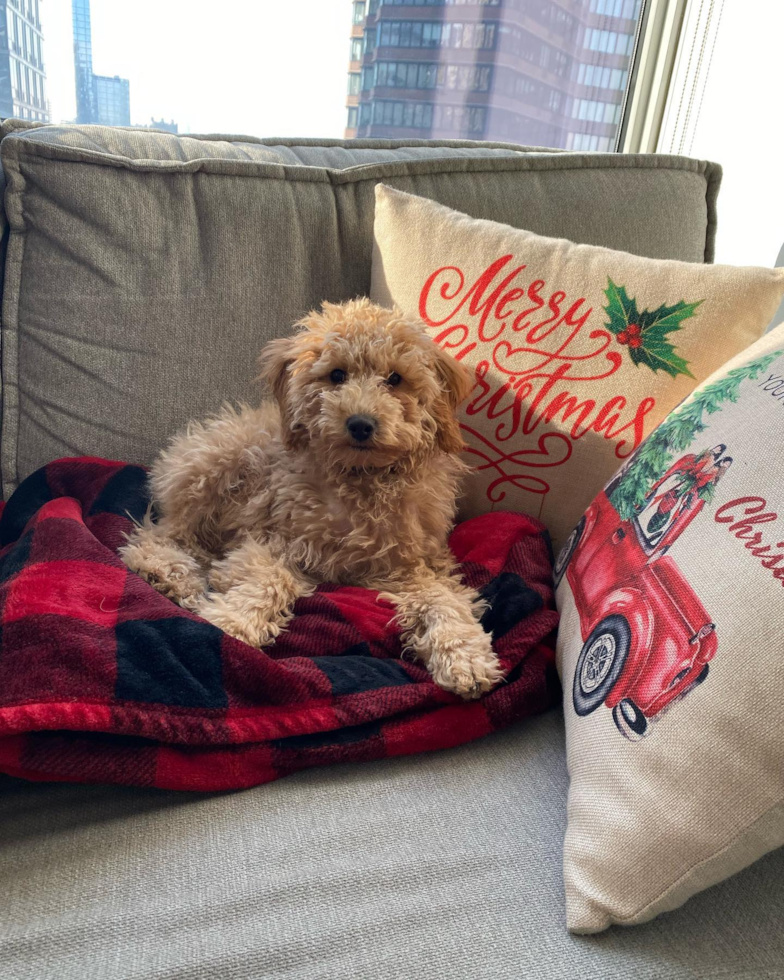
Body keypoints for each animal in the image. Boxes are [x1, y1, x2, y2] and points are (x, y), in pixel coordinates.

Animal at [119, 296, 506, 696]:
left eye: (395, 379)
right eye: (336, 375)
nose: (360, 423)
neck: (361, 480)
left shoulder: (416, 564)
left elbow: (444, 598)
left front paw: (465, 656)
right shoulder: (269, 541)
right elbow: (271, 581)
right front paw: (231, 623)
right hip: (214, 465)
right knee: (156, 537)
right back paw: (171, 576)